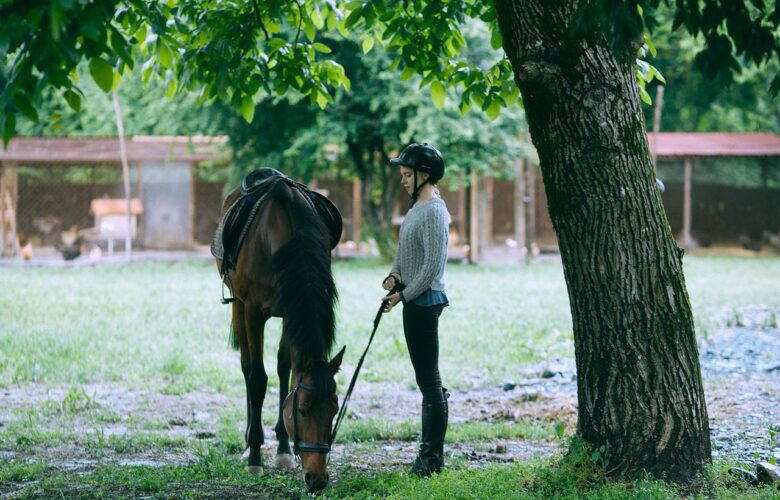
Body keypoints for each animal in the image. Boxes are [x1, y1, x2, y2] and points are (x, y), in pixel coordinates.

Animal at [216, 176, 344, 492]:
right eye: (303, 411)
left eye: (334, 410)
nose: (317, 479)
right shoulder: (252, 311)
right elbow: (257, 379)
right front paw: (254, 456)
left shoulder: (291, 309)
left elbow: (285, 370)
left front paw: (284, 450)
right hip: (237, 306)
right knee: (247, 368)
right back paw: (249, 442)